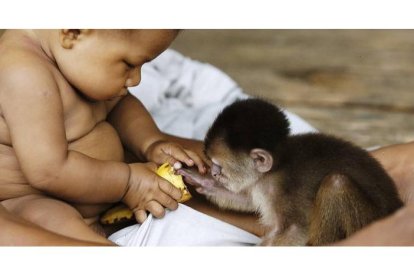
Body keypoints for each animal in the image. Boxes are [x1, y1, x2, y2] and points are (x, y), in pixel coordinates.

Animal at [177, 98, 402, 245]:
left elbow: (295, 231)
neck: (273, 170)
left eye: (219, 166)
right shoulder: (261, 186)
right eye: (212, 165)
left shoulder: (286, 190)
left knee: (336, 183)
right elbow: (246, 200)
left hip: (370, 221)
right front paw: (202, 180)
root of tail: (397, 206)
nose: (214, 174)